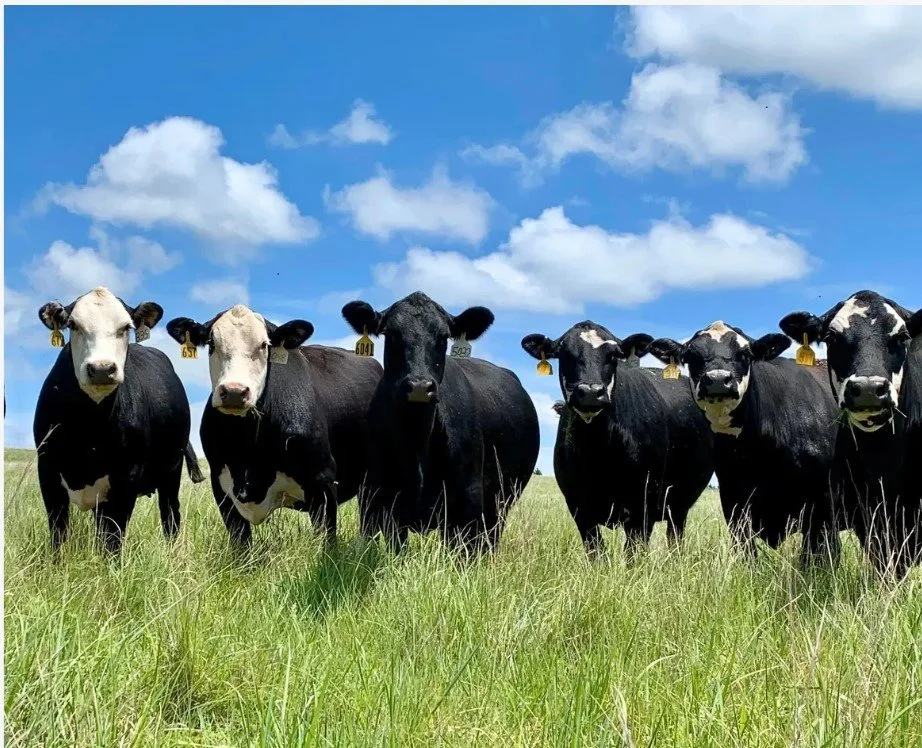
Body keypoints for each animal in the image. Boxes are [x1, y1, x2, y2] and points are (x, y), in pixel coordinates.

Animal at [33, 287, 204, 553]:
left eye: (126, 327)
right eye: (72, 324)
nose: (102, 368)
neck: (88, 427)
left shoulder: (127, 476)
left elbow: (113, 538)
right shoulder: (47, 467)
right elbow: (58, 533)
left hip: (171, 470)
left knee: (170, 515)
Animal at [166, 304, 382, 545]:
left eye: (264, 345)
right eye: (212, 343)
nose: (234, 391)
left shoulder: (322, 481)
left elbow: (327, 540)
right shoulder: (221, 486)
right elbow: (240, 543)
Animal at [341, 291, 540, 554]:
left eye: (443, 336)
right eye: (391, 334)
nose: (419, 386)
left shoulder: (467, 501)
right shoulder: (380, 497)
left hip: (500, 503)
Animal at [521, 322, 714, 557]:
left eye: (613, 355)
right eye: (563, 353)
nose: (590, 392)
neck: (598, 451)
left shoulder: (642, 506)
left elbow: (633, 553)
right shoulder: (578, 507)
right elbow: (596, 552)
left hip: (679, 502)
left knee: (675, 537)